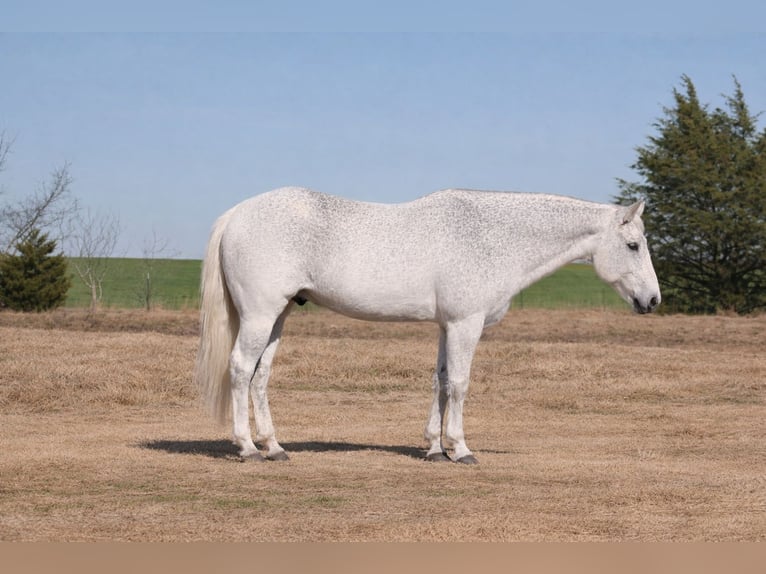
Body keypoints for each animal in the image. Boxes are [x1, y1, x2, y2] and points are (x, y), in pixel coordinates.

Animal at [194, 187, 660, 464]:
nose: (652, 300)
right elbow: (460, 385)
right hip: (260, 314)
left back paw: (274, 446)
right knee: (240, 369)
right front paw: (461, 449)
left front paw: (435, 448)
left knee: (260, 376)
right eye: (633, 245)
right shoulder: (466, 324)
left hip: (279, 316)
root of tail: (236, 214)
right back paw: (248, 448)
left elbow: (439, 381)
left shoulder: (446, 326)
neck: (489, 238)